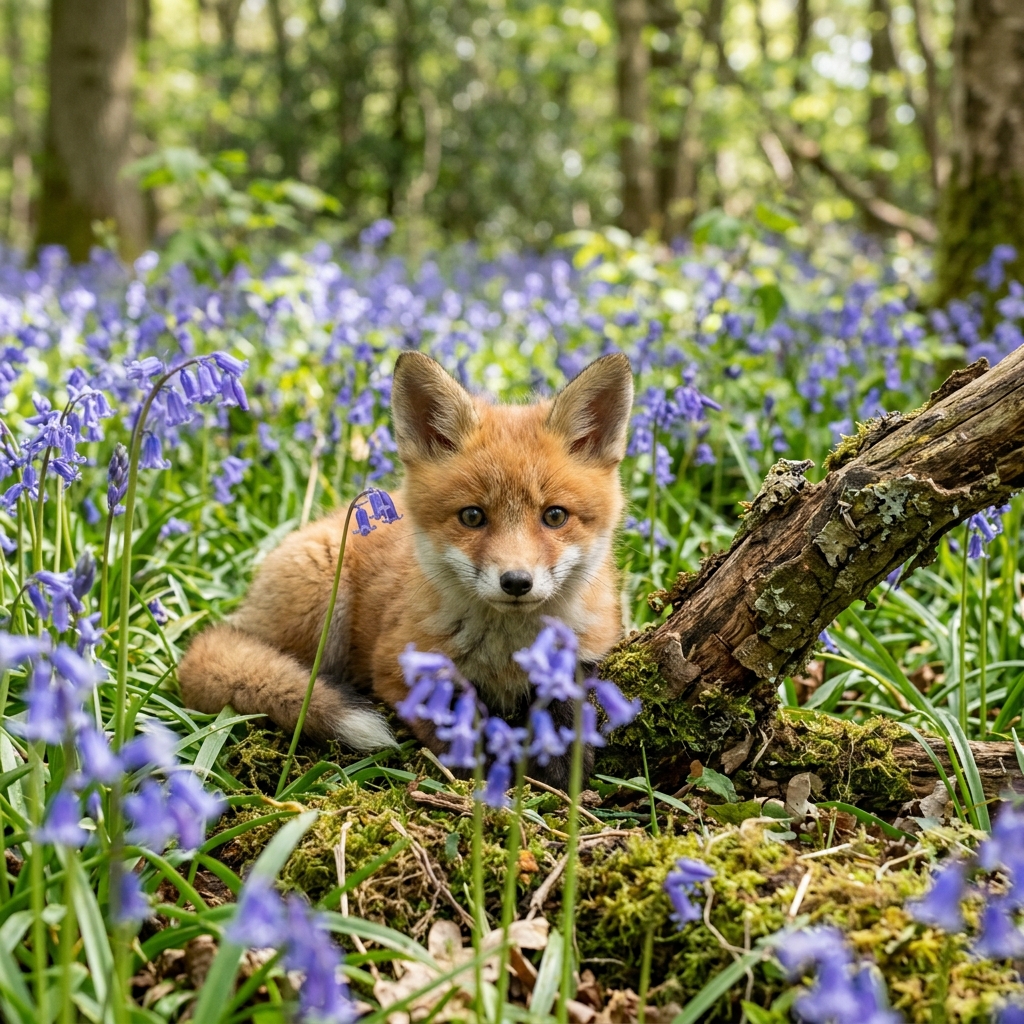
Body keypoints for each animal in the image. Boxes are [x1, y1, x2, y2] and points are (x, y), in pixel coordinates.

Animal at [178, 350, 634, 788]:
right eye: (472, 516)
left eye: (554, 516)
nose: (517, 582)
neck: (506, 651)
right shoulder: (397, 669)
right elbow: (457, 722)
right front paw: (489, 773)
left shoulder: (593, 643)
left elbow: (568, 698)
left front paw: (560, 762)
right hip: (321, 608)